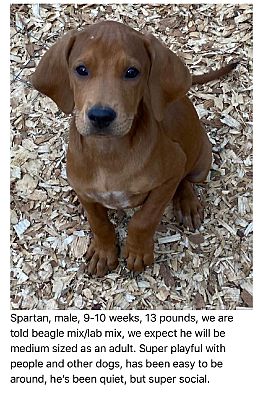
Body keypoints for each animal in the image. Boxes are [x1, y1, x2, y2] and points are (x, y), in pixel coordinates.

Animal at [31, 20, 239, 276]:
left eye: (131, 72)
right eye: (81, 69)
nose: (101, 116)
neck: (109, 152)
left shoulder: (171, 171)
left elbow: (144, 218)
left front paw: (138, 251)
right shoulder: (86, 189)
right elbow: (98, 221)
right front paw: (104, 251)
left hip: (200, 163)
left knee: (186, 180)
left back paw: (188, 204)